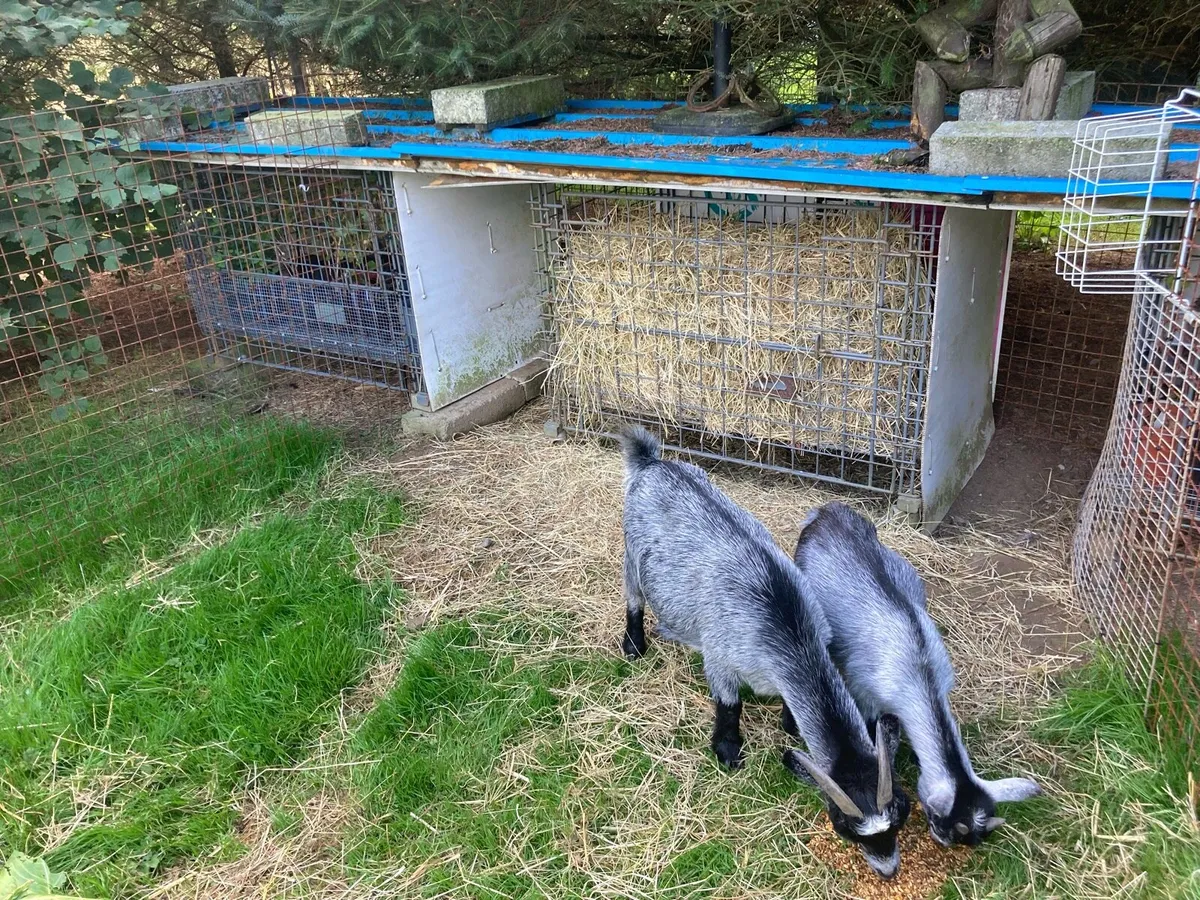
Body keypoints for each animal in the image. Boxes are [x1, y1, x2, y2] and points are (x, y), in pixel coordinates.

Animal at [619, 428, 910, 878]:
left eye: (898, 813)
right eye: (842, 824)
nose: (888, 868)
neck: (786, 623)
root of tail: (652, 462)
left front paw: (788, 723)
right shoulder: (722, 657)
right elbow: (729, 705)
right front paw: (727, 751)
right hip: (632, 555)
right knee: (633, 597)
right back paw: (634, 644)